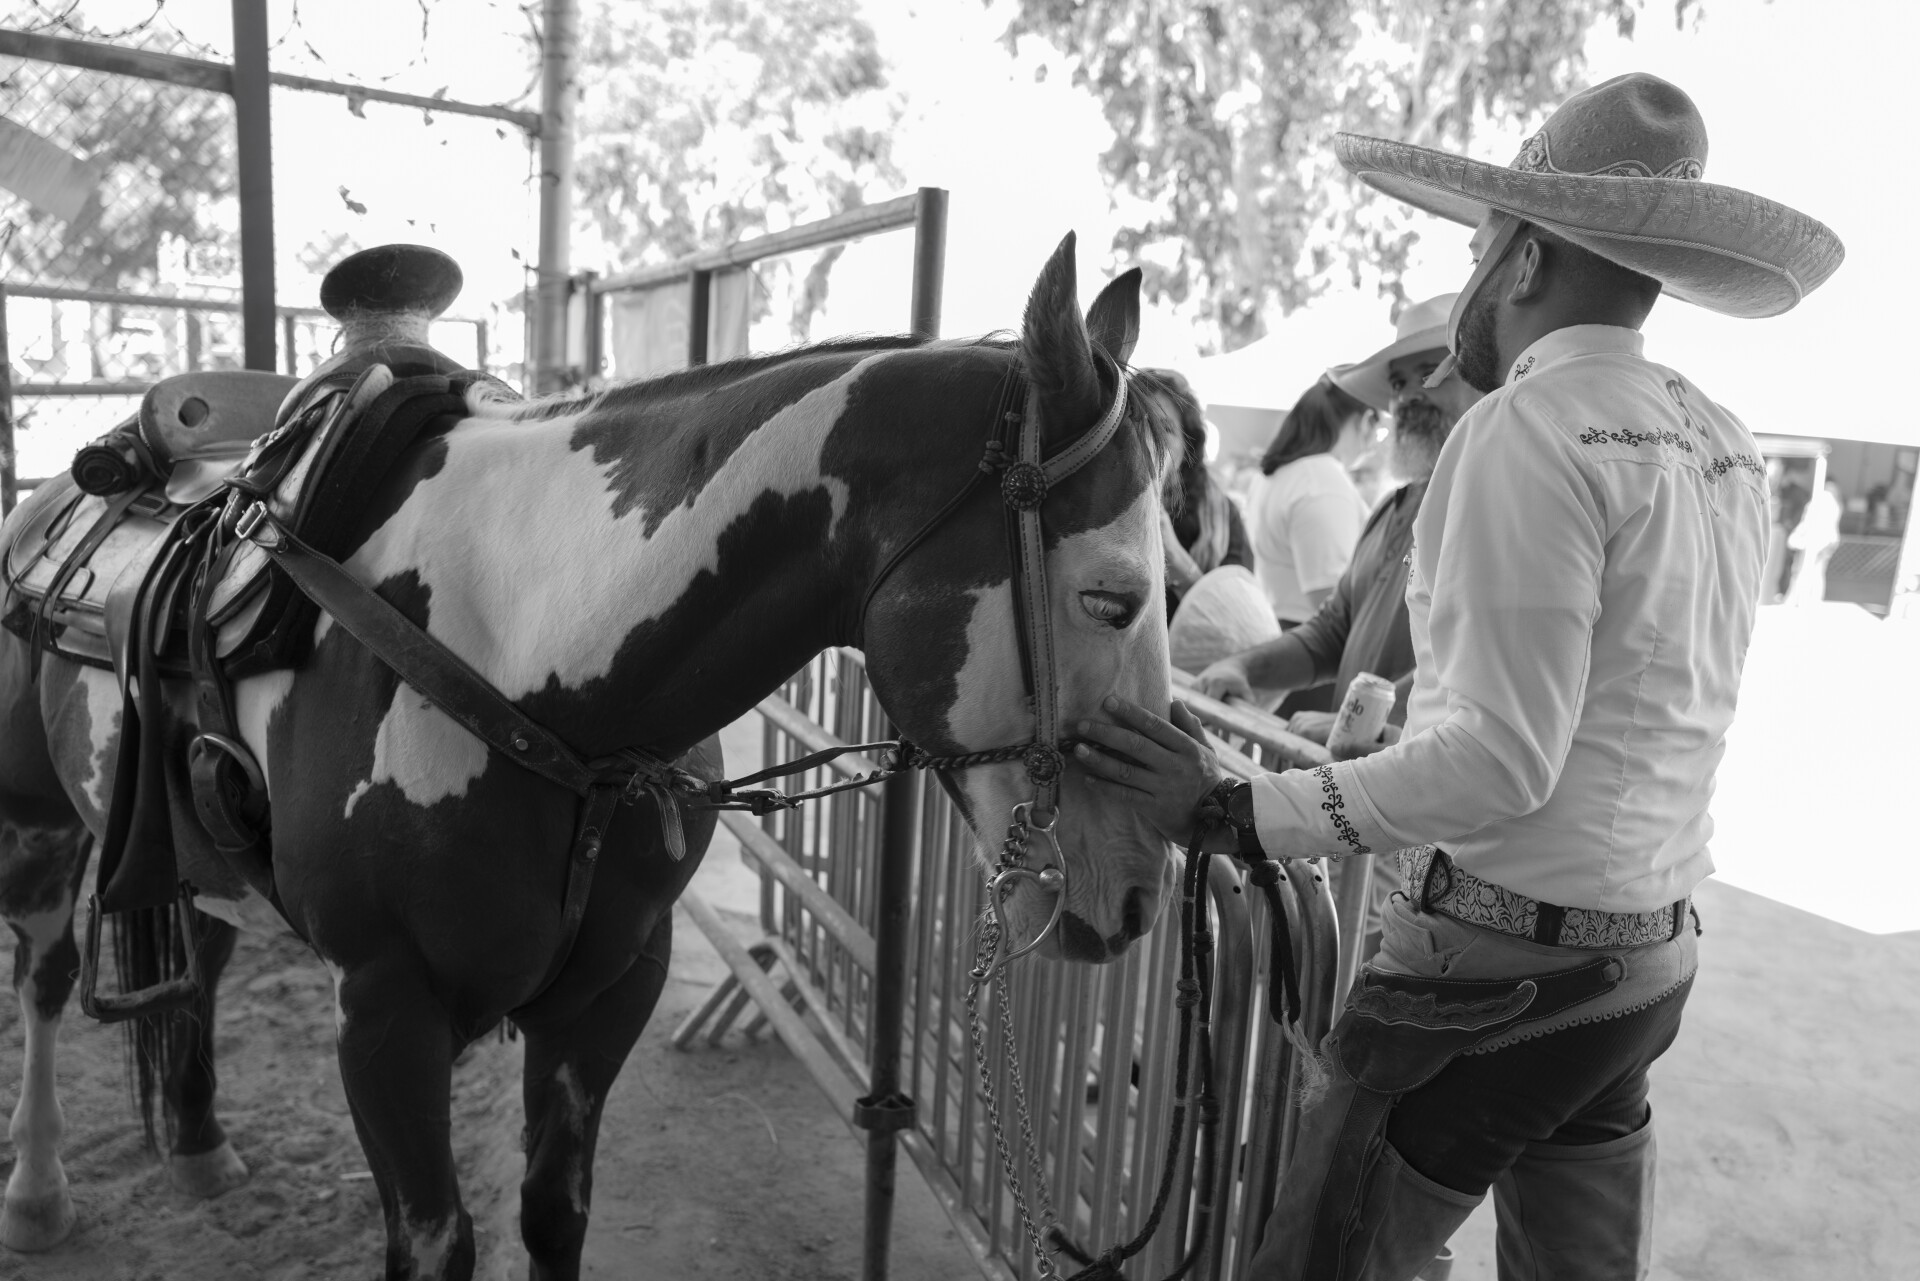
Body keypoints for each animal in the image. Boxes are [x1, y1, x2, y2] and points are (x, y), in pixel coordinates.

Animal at [0, 235, 1175, 1275]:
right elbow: (435, 1243)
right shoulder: (384, 1014)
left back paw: (198, 1141)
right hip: (39, 827)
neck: (525, 661)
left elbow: (554, 1214)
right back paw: (39, 1192)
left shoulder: (609, 990)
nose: (1138, 900)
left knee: (199, 954)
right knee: (48, 979)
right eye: (1111, 598)